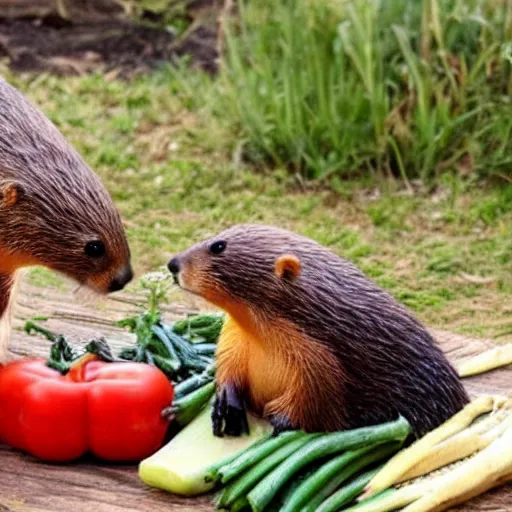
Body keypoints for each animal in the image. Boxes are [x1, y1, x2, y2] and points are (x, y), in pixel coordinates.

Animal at [168, 226, 468, 438]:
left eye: (218, 246)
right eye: (216, 237)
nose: (173, 264)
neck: (263, 340)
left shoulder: (320, 371)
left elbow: (308, 412)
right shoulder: (234, 337)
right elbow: (228, 369)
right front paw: (226, 403)